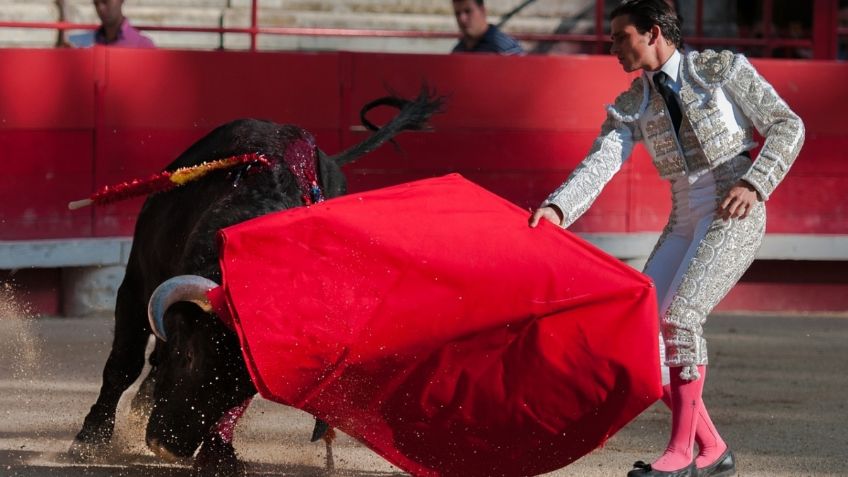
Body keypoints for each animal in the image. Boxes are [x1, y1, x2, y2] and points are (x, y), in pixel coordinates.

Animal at [68, 89, 444, 472]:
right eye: (189, 357)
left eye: (245, 390)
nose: (169, 446)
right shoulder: (135, 285)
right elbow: (124, 363)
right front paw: (90, 438)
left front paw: (219, 455)